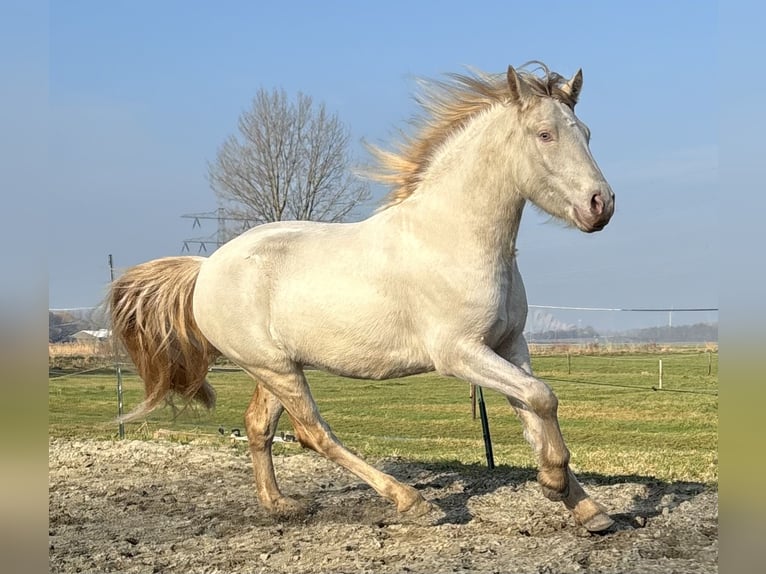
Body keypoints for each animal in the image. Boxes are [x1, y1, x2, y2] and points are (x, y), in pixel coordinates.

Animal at [110, 62, 616, 532]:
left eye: (588, 133)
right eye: (544, 134)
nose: (601, 205)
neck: (452, 237)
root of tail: (206, 267)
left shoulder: (510, 345)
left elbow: (534, 409)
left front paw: (587, 508)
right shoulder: (459, 353)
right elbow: (542, 397)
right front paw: (554, 483)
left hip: (275, 367)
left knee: (258, 426)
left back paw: (281, 505)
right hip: (275, 369)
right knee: (313, 433)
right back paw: (413, 502)